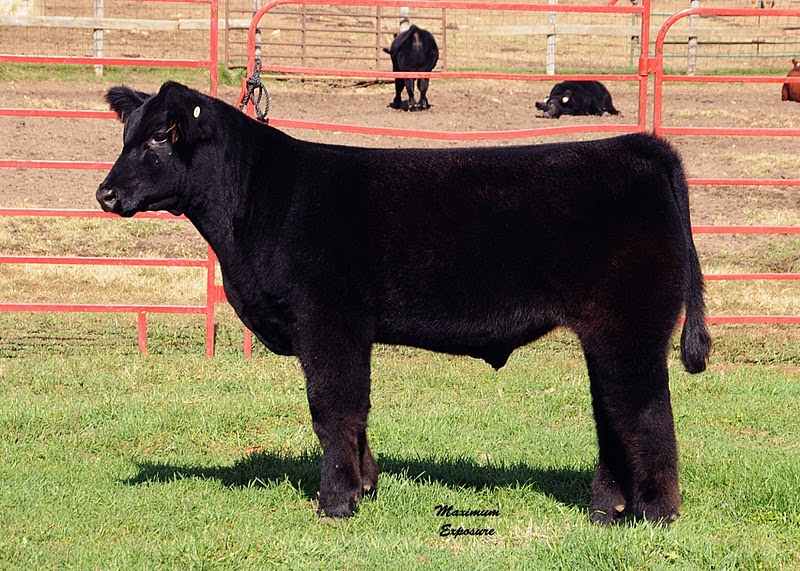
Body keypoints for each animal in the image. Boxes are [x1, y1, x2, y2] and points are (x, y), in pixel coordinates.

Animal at [97, 81, 711, 525]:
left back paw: (654, 513)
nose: (105, 194)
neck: (255, 203)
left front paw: (335, 503)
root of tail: (640, 147)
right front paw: (366, 487)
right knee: (613, 412)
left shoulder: (326, 320)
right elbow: (355, 410)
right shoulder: (345, 330)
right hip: (606, 332)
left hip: (630, 326)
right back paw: (607, 509)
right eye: (125, 136)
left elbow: (333, 409)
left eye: (159, 138)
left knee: (645, 413)